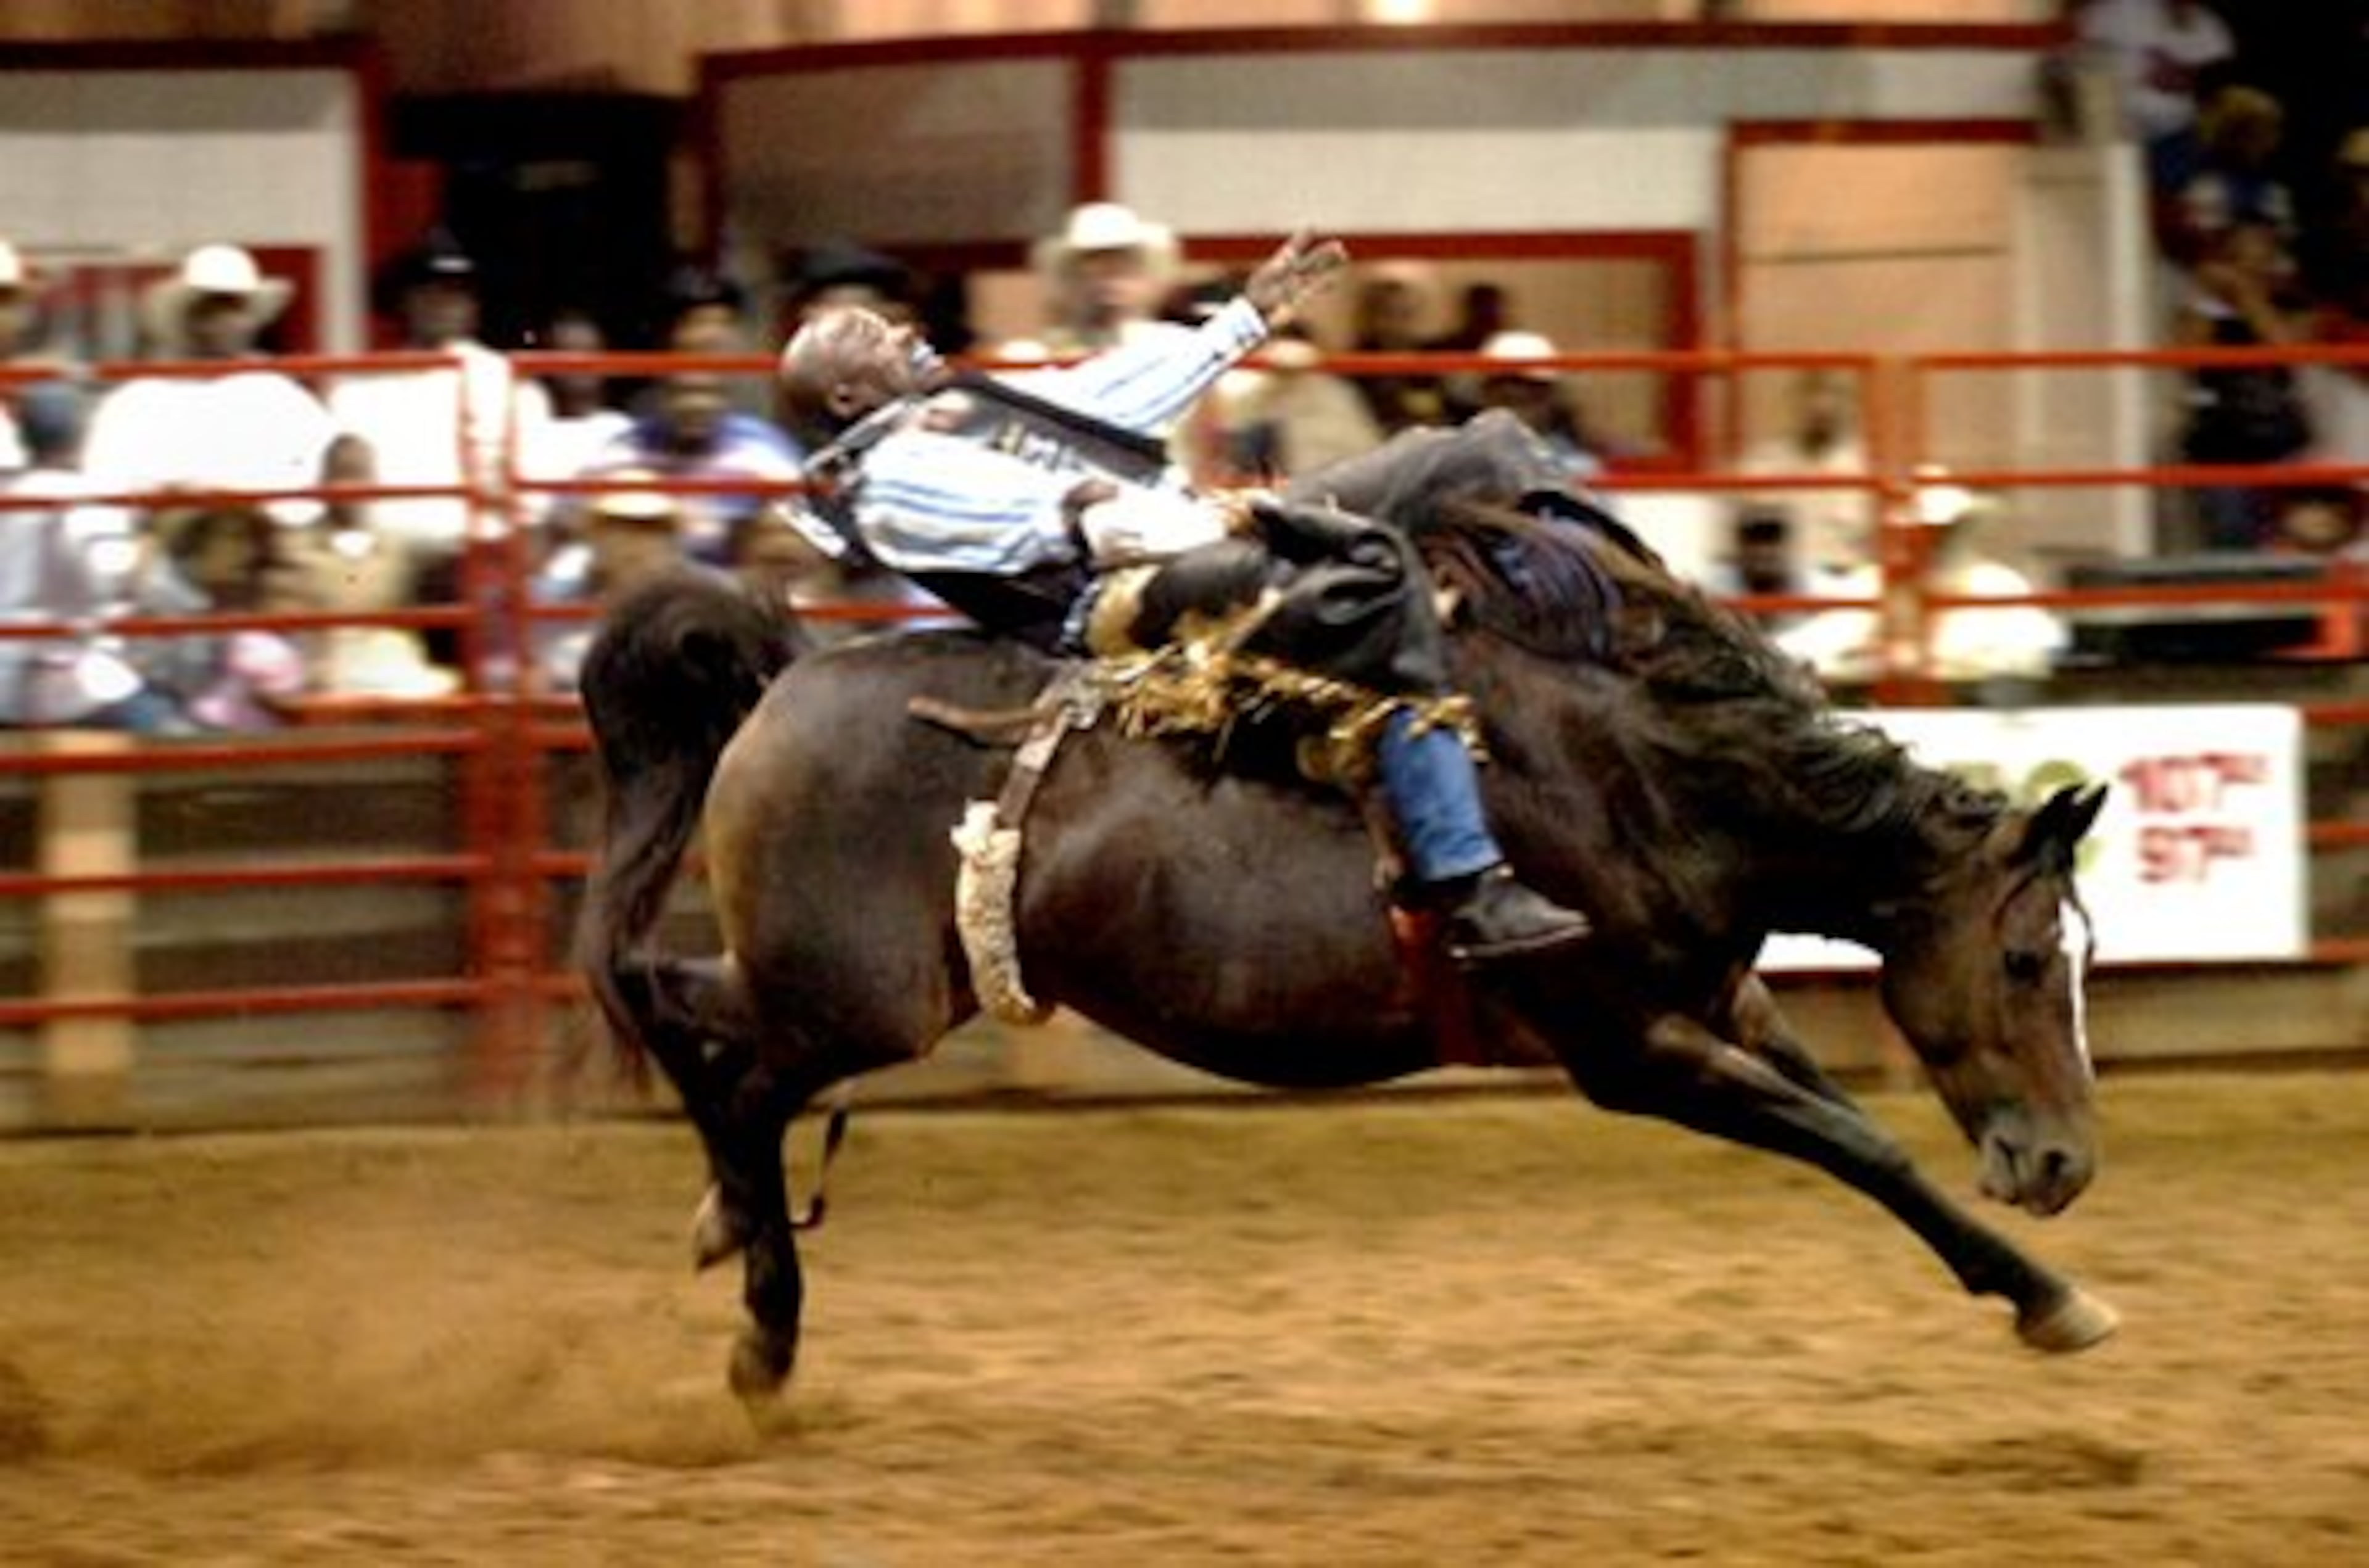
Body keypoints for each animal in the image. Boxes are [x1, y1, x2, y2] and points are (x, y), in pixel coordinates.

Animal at [576, 505, 2117, 1404]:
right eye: (2029, 958)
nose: (2064, 1162)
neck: (1649, 777)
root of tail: (784, 678)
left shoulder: (1722, 1003)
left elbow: (1854, 1124)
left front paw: (2042, 1286)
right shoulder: (1630, 1048)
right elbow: (1861, 1141)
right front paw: (2055, 1296)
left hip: (854, 991)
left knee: (701, 1034)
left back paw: (726, 1225)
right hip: (854, 995)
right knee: (711, 1045)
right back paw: (763, 1322)